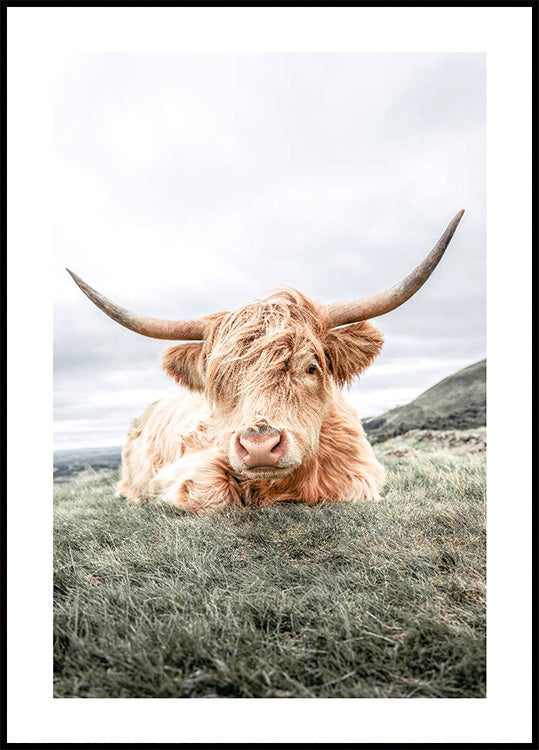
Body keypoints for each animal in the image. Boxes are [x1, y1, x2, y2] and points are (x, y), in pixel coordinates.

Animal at [68, 210, 464, 513]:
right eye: (220, 379)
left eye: (310, 367)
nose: (260, 445)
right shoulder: (187, 468)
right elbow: (212, 494)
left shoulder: (359, 474)